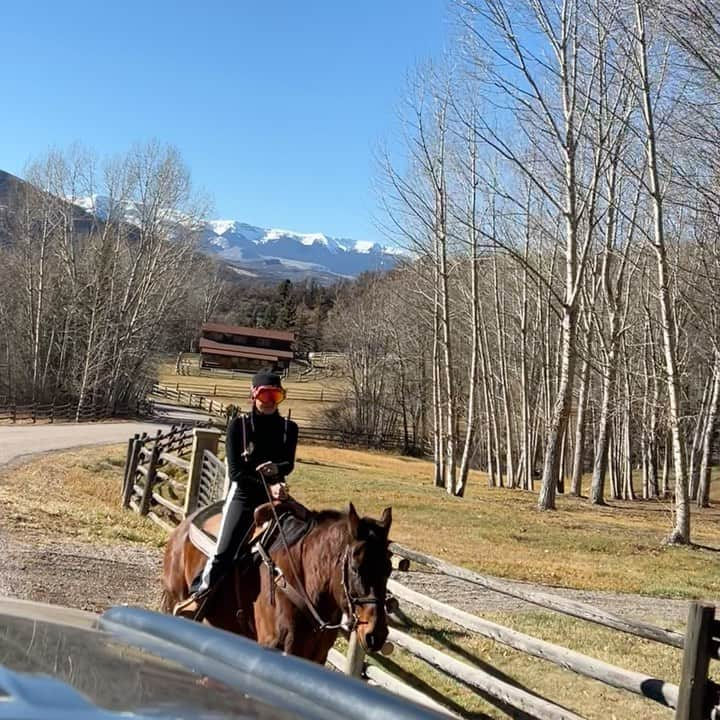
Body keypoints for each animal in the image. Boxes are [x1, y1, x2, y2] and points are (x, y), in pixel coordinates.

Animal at [160, 500, 394, 664]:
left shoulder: (315, 658)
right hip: (174, 598)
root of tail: (186, 524)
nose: (376, 634)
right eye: (355, 567)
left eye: (389, 569)